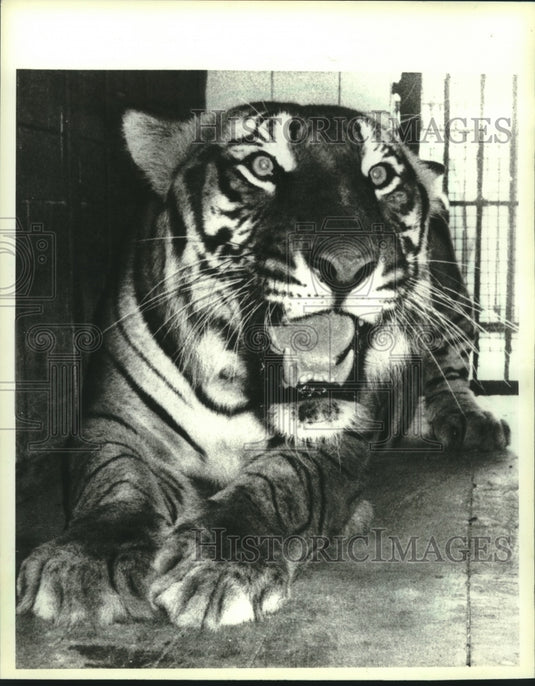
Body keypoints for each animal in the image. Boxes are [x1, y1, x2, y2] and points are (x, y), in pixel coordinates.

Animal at [17, 102, 510, 630]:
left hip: (453, 304)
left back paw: (473, 423)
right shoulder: (113, 424)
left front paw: (217, 567)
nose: (347, 266)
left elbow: (278, 486)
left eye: (379, 175)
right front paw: (82, 564)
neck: (233, 384)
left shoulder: (334, 443)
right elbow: (115, 483)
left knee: (450, 372)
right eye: (262, 165)